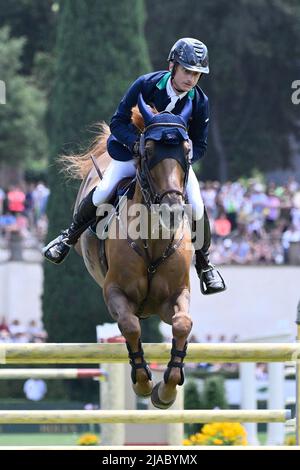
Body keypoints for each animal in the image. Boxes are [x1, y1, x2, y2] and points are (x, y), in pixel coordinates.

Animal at [64, 94, 193, 408]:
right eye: (148, 150)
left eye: (186, 150)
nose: (172, 211)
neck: (153, 239)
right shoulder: (115, 291)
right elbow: (130, 326)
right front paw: (144, 383)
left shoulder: (175, 295)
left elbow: (182, 324)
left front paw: (167, 390)